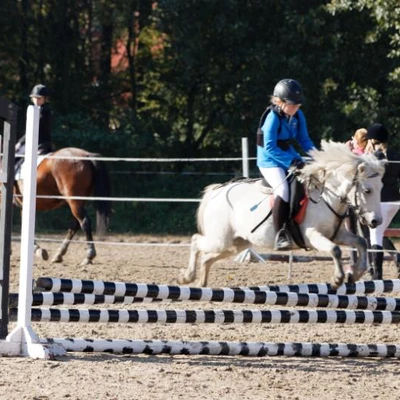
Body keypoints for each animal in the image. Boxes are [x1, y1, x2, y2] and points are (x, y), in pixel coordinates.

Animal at [180, 141, 386, 288]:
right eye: (367, 190)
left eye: (381, 188)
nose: (376, 221)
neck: (326, 196)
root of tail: (218, 191)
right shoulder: (312, 235)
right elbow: (335, 250)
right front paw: (338, 278)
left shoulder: (337, 234)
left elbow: (361, 242)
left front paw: (355, 274)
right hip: (221, 239)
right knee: (196, 241)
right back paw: (187, 277)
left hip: (237, 243)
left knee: (207, 257)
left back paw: (201, 282)